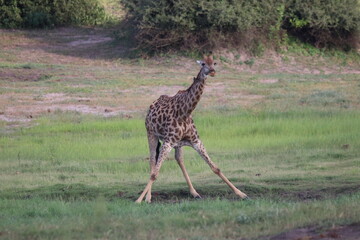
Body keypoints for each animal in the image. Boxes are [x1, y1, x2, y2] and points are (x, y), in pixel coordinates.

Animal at [135, 53, 248, 203]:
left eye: (214, 63)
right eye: (203, 64)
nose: (212, 71)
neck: (185, 112)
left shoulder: (195, 141)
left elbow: (215, 168)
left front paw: (241, 193)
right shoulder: (167, 142)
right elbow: (155, 174)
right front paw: (139, 200)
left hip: (177, 144)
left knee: (179, 159)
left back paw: (194, 192)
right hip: (151, 134)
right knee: (153, 160)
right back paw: (148, 197)